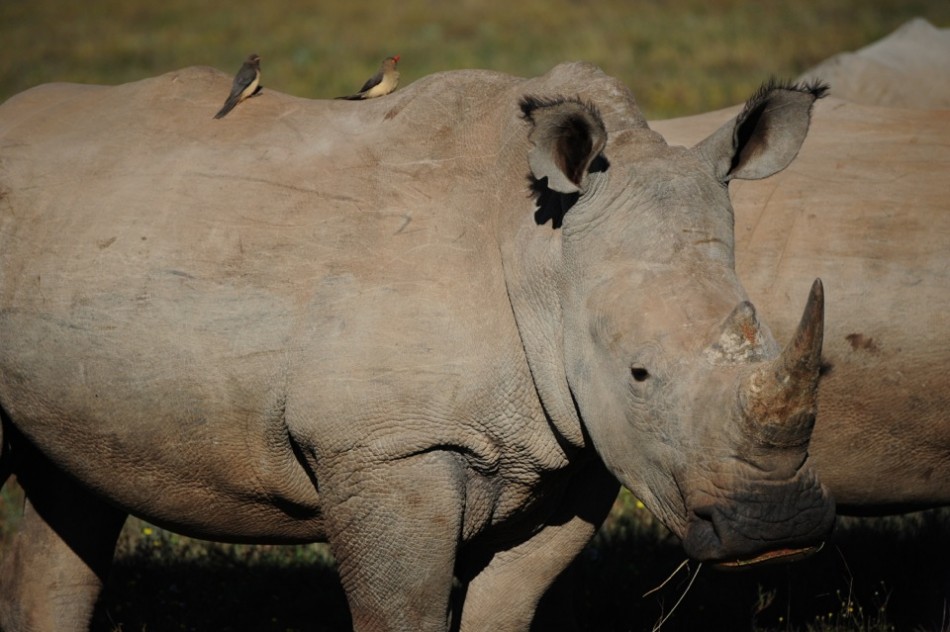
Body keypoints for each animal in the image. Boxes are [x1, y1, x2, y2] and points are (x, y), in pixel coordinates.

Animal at [0, 63, 833, 631]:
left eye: (769, 340)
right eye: (639, 372)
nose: (778, 531)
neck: (541, 254)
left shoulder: (581, 447)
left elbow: (507, 607)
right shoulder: (386, 446)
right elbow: (406, 611)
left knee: (67, 495)